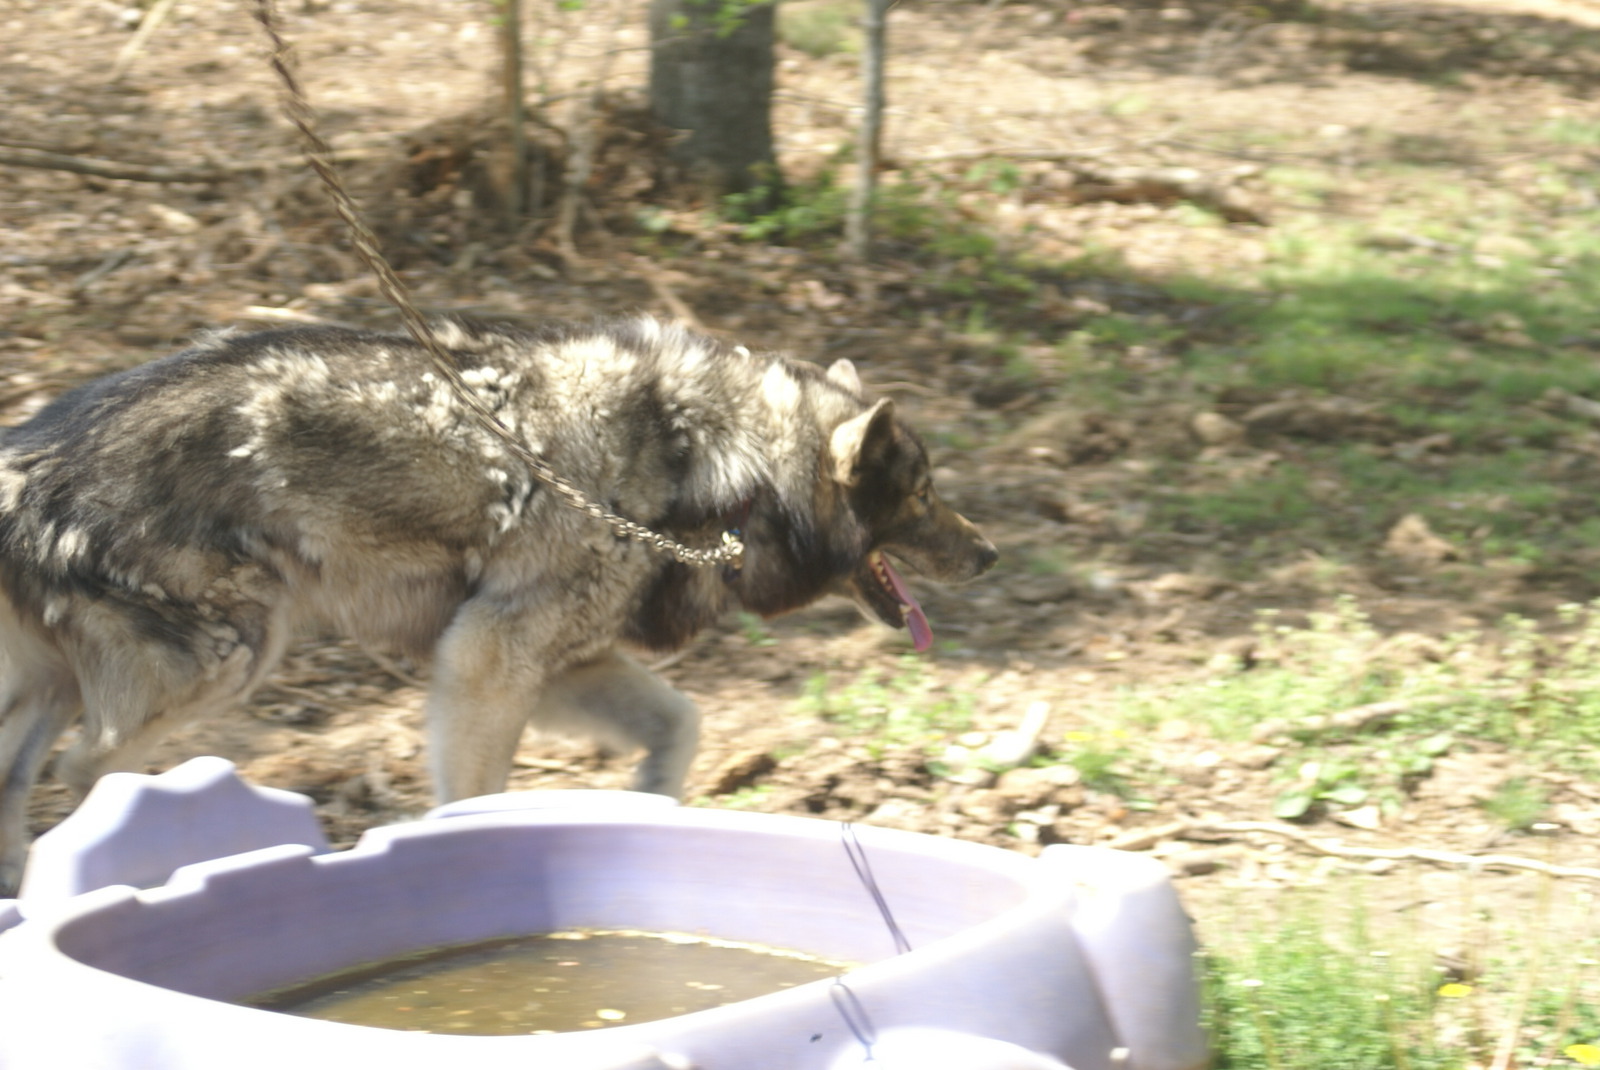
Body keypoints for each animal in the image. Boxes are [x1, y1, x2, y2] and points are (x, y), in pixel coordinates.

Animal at [0, 316, 997, 892]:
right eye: (921, 495)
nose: (989, 554)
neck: (719, 461)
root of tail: (28, 456)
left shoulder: (565, 661)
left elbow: (681, 726)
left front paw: (652, 807)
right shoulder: (490, 658)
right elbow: (476, 798)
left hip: (60, 691)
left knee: (26, 778)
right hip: (227, 658)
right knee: (87, 770)